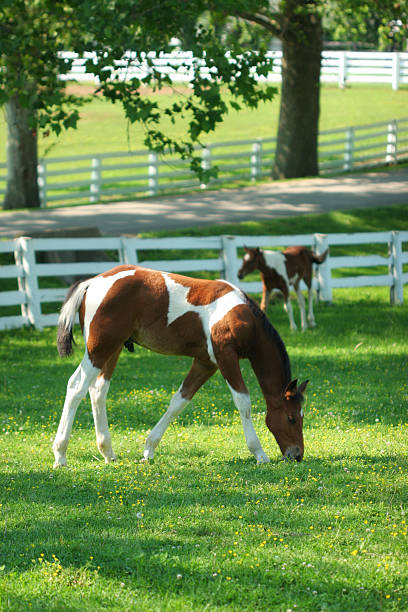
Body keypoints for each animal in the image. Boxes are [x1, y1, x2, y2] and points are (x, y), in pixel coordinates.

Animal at [55, 264, 310, 468]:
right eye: (291, 418)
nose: (297, 454)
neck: (244, 317)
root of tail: (92, 282)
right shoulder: (226, 357)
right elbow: (243, 402)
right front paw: (259, 453)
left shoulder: (206, 363)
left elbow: (179, 400)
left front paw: (149, 449)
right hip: (99, 349)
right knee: (76, 386)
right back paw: (60, 455)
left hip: (113, 349)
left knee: (98, 390)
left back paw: (108, 453)